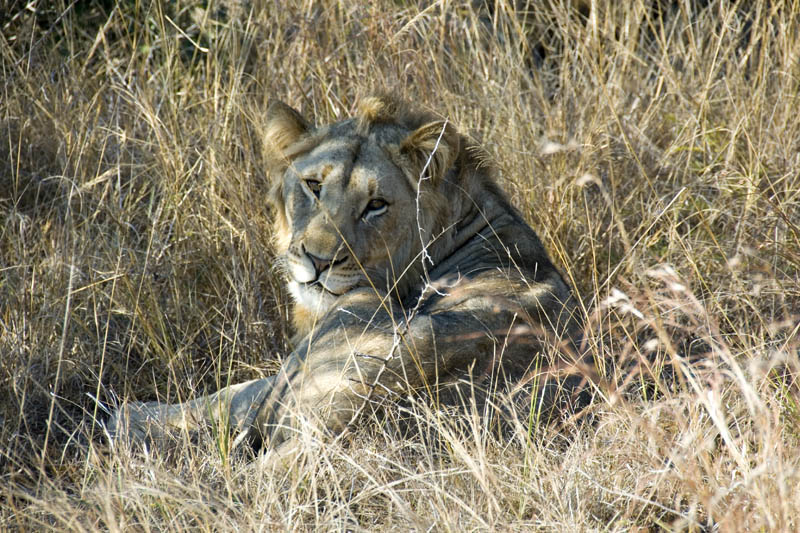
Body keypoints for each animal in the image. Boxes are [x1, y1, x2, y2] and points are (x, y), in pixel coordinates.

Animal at [108, 95, 588, 459]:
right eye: (313, 186)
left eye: (376, 205)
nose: (317, 261)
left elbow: (232, 393)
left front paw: (128, 415)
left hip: (346, 323)